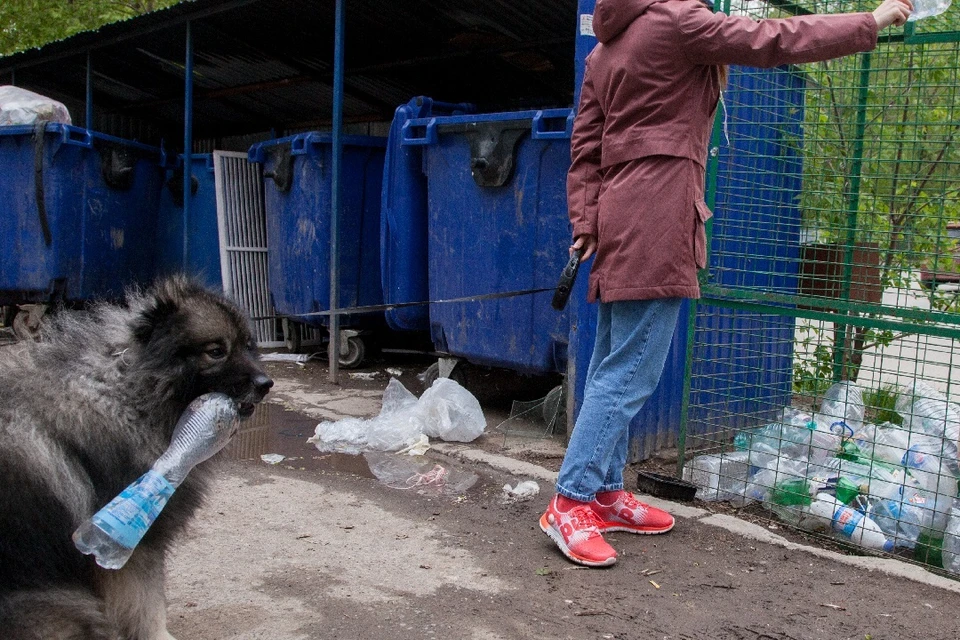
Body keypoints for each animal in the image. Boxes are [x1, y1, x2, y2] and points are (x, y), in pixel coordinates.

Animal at [0, 278, 272, 640]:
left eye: (248, 346)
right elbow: (147, 605)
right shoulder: (131, 548)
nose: (266, 383)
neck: (131, 395)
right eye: (216, 351)